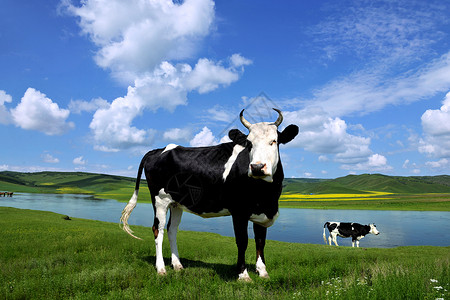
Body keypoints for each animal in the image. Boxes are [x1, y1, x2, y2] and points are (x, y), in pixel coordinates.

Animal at [120, 108, 298, 282]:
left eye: (274, 141)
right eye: (249, 144)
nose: (257, 167)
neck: (266, 196)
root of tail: (158, 150)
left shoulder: (262, 212)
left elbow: (260, 241)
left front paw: (262, 271)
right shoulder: (239, 211)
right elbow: (242, 241)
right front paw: (243, 275)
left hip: (176, 203)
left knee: (172, 229)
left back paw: (177, 265)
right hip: (159, 200)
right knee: (158, 229)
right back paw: (161, 268)